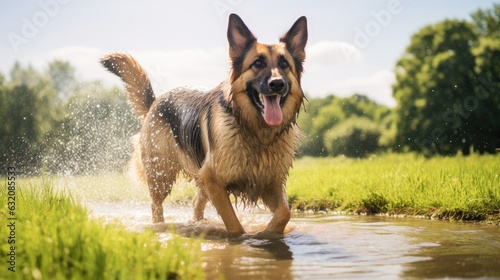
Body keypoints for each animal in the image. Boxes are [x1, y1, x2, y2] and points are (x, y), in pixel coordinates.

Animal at [100, 13, 306, 236]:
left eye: (284, 64)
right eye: (258, 63)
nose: (277, 84)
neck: (256, 133)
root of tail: (155, 102)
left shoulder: (270, 183)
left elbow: (285, 212)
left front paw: (267, 234)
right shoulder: (212, 179)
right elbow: (234, 224)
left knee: (195, 204)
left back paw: (197, 224)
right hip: (161, 178)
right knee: (157, 207)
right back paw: (160, 227)